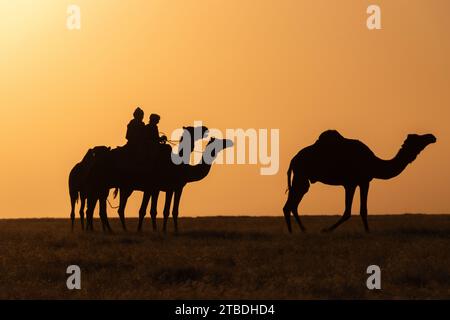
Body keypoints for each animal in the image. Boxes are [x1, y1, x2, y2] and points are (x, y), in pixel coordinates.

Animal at [284, 130, 436, 232]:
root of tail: (293, 159)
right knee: (290, 204)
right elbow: (349, 211)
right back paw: (295, 232)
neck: (373, 163)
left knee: (293, 204)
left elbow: (362, 209)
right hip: (301, 175)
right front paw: (327, 230)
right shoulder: (352, 183)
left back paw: (300, 230)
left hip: (302, 177)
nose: (432, 137)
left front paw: (367, 231)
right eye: (418, 139)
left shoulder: (362, 182)